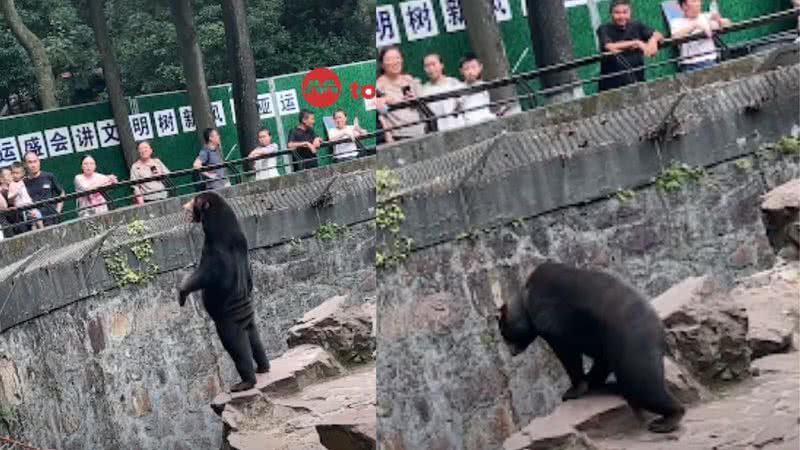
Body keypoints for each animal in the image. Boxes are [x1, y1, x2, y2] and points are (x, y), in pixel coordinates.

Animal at [177, 192, 270, 392]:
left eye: (194, 201)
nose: (183, 205)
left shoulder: (214, 252)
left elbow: (202, 276)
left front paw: (181, 293)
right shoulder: (244, 254)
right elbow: (250, 278)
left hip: (227, 322)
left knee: (237, 348)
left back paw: (244, 383)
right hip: (249, 321)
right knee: (255, 340)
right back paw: (263, 367)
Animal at [496, 262, 684, 434]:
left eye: (505, 334)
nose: (512, 353)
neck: (526, 299)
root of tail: (660, 331)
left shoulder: (551, 315)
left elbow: (567, 352)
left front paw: (572, 391)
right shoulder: (602, 337)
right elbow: (601, 360)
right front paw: (591, 381)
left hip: (634, 344)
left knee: (642, 383)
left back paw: (667, 420)